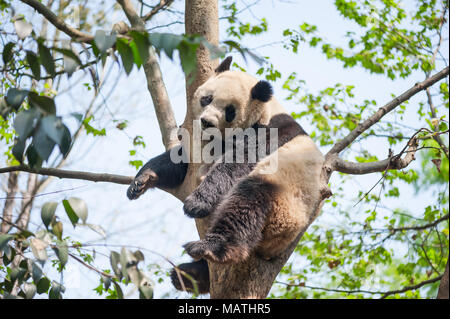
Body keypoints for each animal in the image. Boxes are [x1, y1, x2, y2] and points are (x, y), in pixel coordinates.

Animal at [126, 57, 324, 296]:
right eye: (207, 98)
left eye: (229, 111)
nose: (207, 122)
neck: (265, 110)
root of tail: (271, 249)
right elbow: (178, 164)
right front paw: (141, 181)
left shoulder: (269, 133)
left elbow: (236, 163)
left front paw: (197, 203)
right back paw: (191, 275)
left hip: (284, 203)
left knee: (245, 204)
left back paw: (210, 249)